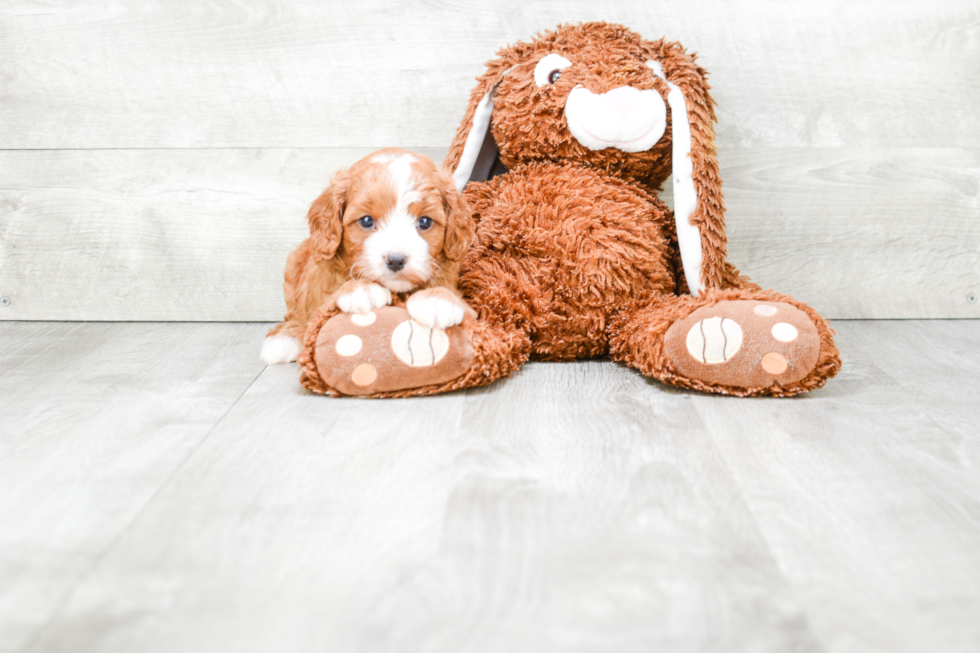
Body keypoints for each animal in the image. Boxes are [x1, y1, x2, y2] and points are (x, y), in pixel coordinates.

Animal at [260, 148, 474, 364]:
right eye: (366, 221)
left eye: (424, 222)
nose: (395, 260)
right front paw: (360, 288)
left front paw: (437, 298)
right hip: (294, 264)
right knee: (294, 313)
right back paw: (284, 340)